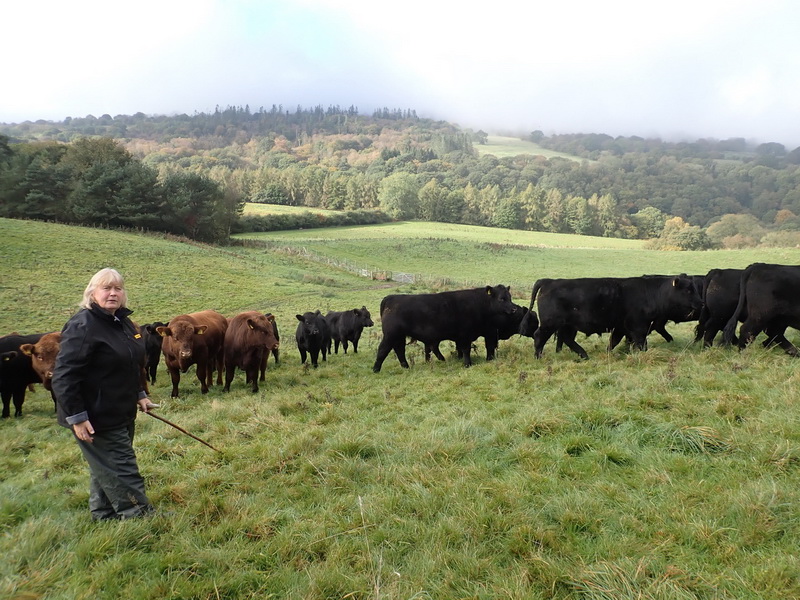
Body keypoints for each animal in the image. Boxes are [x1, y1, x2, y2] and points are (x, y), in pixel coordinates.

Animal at [374, 284, 516, 372]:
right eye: (501, 299)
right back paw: (376, 369)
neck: (479, 303)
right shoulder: (465, 334)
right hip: (391, 334)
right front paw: (467, 364)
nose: (514, 309)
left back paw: (406, 366)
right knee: (383, 350)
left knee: (399, 350)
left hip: (399, 336)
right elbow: (466, 349)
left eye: (510, 297)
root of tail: (391, 297)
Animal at [528, 276, 704, 358]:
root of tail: (550, 281)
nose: (701, 303)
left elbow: (613, 342)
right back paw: (538, 356)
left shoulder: (621, 327)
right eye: (688, 290)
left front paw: (608, 354)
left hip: (568, 325)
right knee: (539, 336)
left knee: (567, 339)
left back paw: (584, 355)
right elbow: (642, 344)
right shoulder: (639, 327)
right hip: (550, 323)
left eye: (695, 289)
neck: (652, 293)